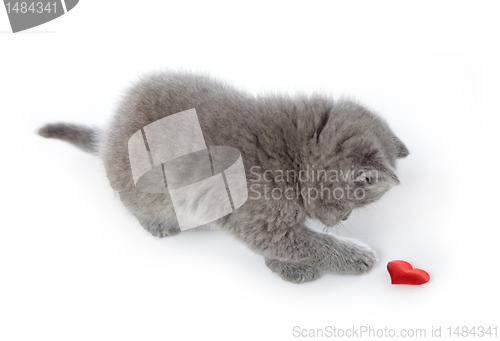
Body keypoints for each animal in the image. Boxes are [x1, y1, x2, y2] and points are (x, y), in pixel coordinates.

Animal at [38, 70, 406, 282]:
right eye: (351, 203)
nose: (343, 219)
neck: (292, 157)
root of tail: (108, 133)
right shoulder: (259, 220)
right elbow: (308, 243)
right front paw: (355, 256)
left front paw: (287, 267)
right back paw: (157, 223)